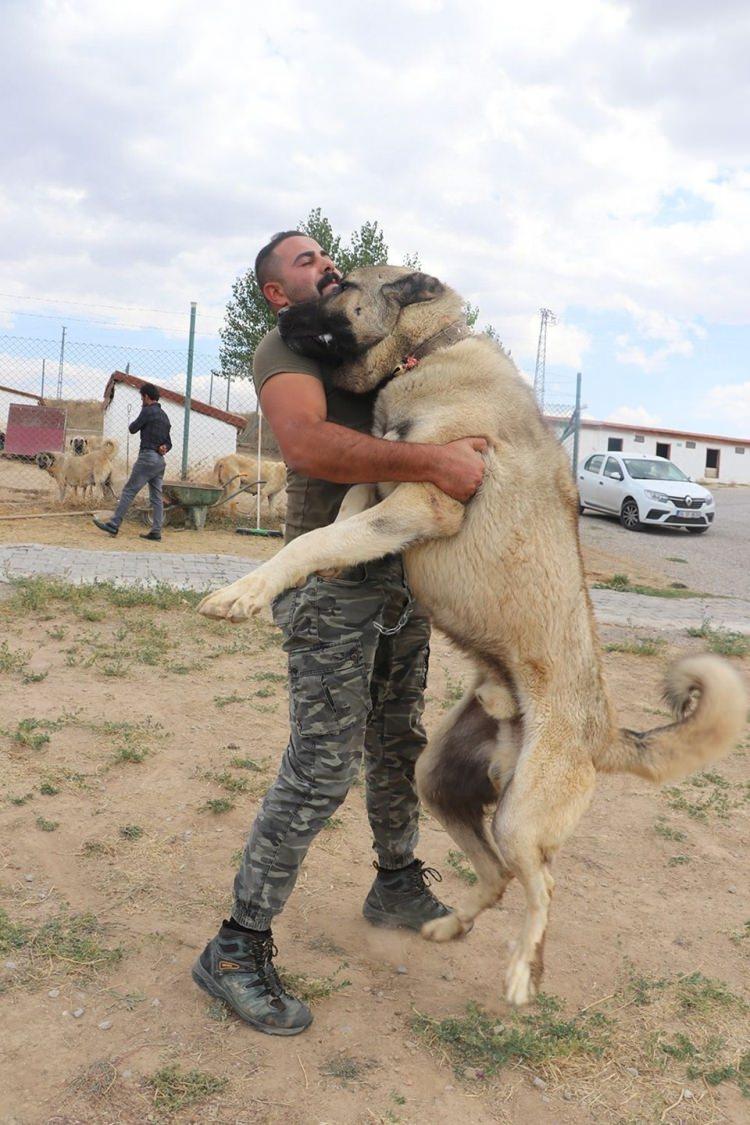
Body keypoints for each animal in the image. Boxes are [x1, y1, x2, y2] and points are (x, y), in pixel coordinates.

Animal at [196, 267, 746, 1008]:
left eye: (337, 283)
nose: (276, 317)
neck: (426, 355)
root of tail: (604, 732)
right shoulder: (387, 480)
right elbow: (340, 517)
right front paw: (326, 567)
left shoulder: (426, 497)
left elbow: (314, 536)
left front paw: (246, 592)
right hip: (438, 781)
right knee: (499, 873)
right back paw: (449, 926)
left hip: (518, 817)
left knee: (543, 883)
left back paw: (521, 970)